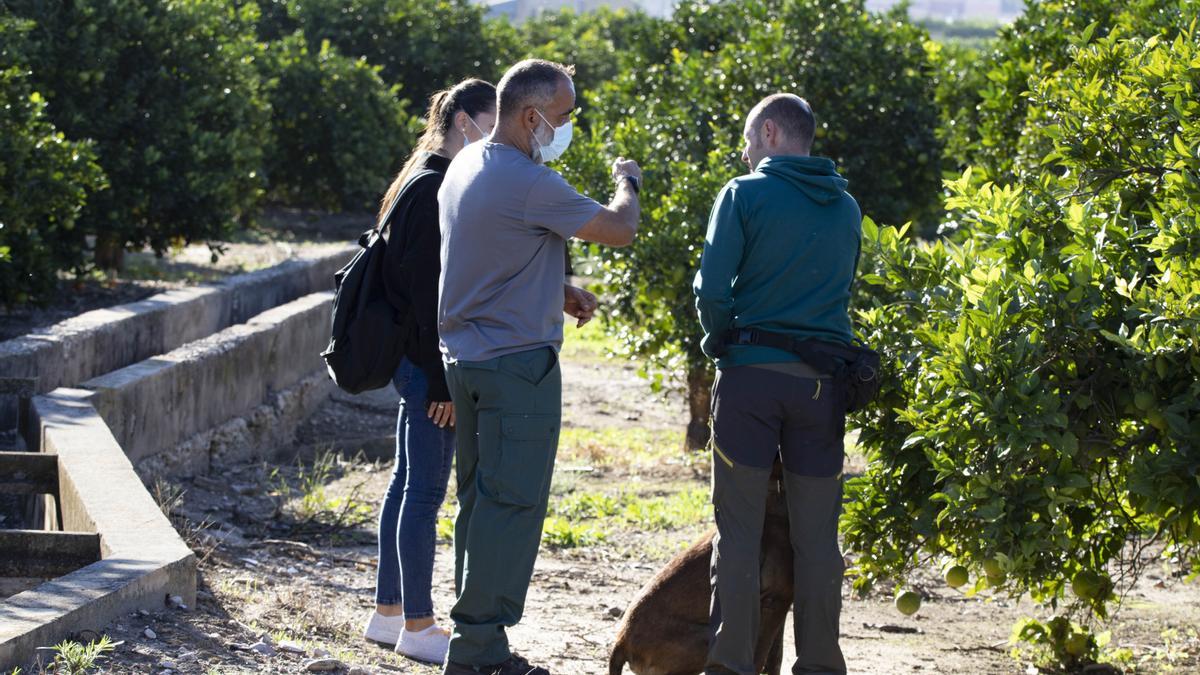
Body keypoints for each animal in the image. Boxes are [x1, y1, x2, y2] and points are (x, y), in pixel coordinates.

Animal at [609, 461, 796, 672]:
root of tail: (621, 643)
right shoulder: (775, 603)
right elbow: (761, 658)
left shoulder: (778, 607)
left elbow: (775, 657)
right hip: (708, 639)